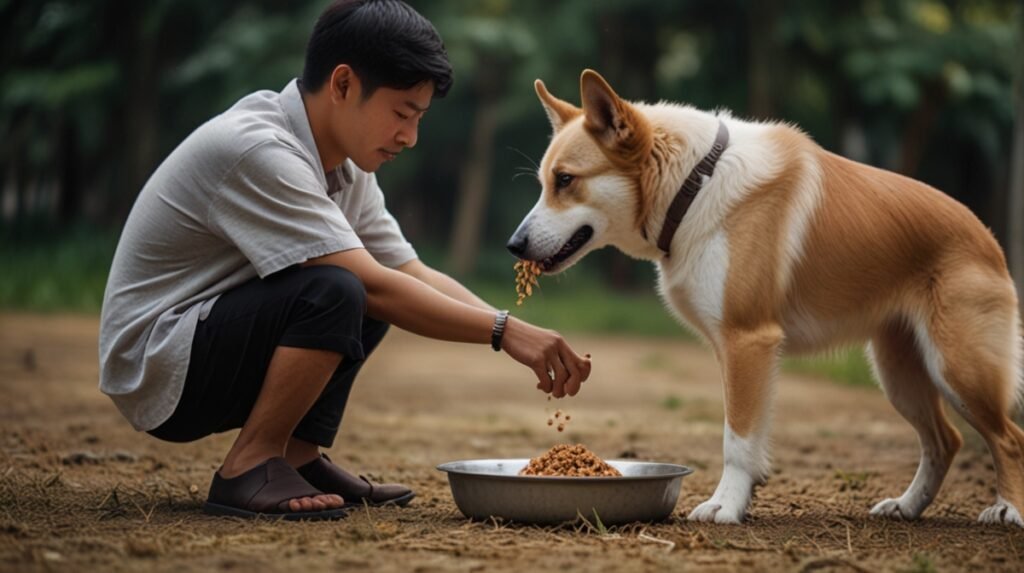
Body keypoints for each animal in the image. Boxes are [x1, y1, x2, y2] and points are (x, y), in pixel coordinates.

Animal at [505, 69, 1024, 527]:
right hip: (900, 373)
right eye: (545, 182)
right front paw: (741, 501)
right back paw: (907, 507)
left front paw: (725, 507)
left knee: (1008, 438)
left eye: (566, 180)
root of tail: (990, 242)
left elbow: (736, 441)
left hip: (957, 369)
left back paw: (1007, 511)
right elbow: (746, 437)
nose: (514, 245)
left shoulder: (748, 342)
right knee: (946, 441)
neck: (693, 187)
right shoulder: (734, 353)